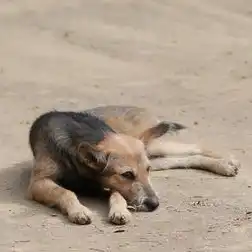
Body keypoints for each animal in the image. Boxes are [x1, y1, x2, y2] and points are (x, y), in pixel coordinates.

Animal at [26, 105, 239, 225]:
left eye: (146, 171)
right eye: (127, 174)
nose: (154, 205)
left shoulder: (111, 184)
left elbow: (118, 195)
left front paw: (120, 211)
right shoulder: (39, 183)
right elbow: (65, 192)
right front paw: (79, 211)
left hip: (153, 148)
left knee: (194, 146)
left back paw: (227, 160)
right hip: (155, 154)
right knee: (187, 158)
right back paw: (224, 165)